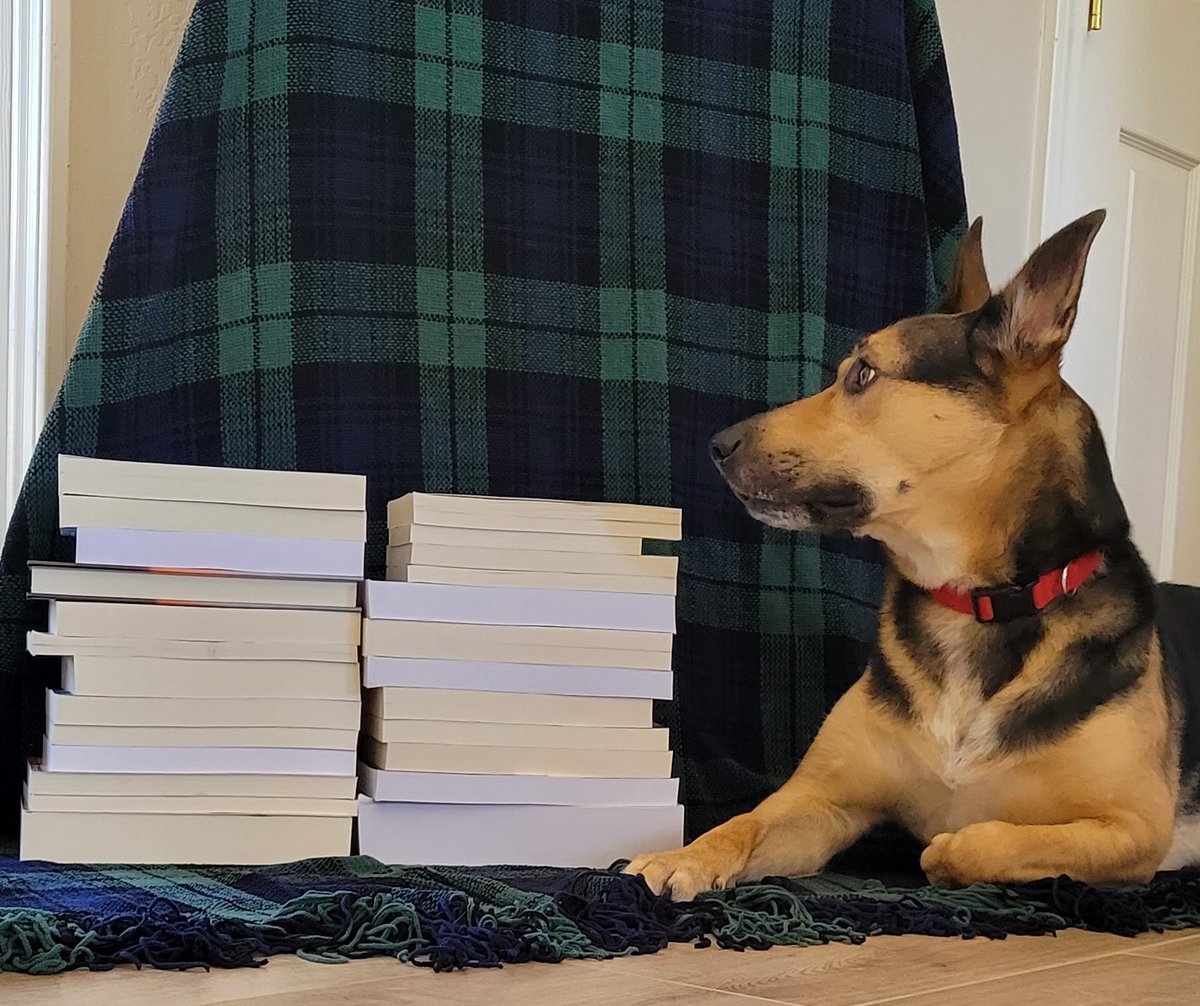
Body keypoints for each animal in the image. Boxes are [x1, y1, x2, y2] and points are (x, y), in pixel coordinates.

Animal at [624, 211, 1200, 897]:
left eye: (863, 374)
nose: (716, 444)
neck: (976, 604)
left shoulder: (1135, 830)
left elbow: (986, 841)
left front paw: (946, 852)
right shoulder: (819, 800)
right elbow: (742, 823)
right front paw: (679, 855)